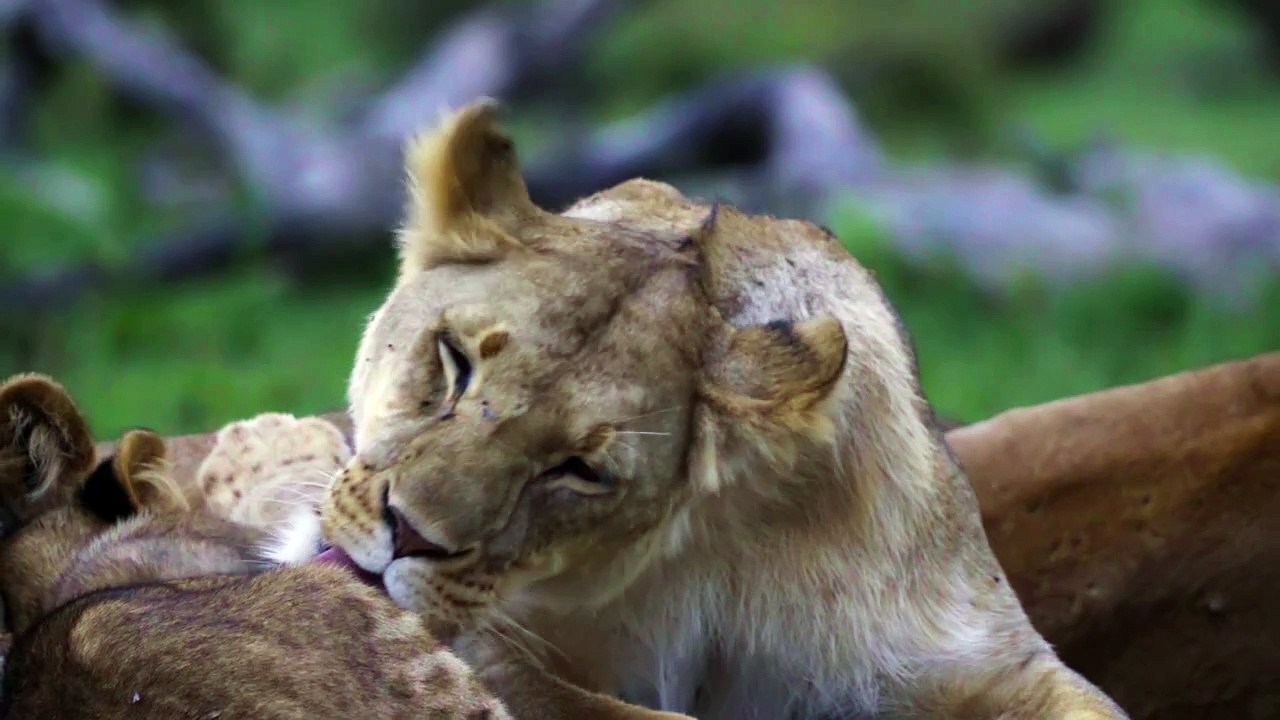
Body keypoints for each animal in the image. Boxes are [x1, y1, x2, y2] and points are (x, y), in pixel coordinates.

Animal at [261, 99, 1132, 719]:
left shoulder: (984, 656)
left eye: (580, 470)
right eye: (453, 359)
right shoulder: (514, 648)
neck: (712, 550)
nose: (407, 533)